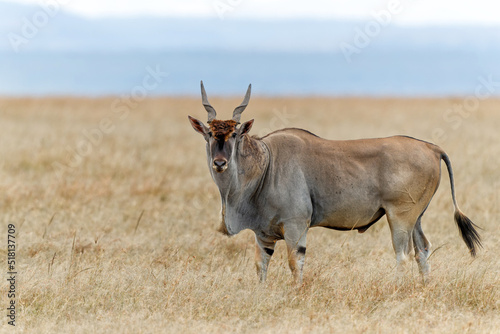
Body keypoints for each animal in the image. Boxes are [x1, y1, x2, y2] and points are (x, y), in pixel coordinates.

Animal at [188, 81, 480, 282]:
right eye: (210, 134)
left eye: (235, 135)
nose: (220, 163)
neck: (266, 162)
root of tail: (432, 148)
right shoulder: (263, 235)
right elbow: (261, 266)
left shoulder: (296, 226)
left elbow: (295, 262)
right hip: (415, 218)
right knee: (422, 250)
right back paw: (424, 288)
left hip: (400, 217)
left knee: (403, 255)